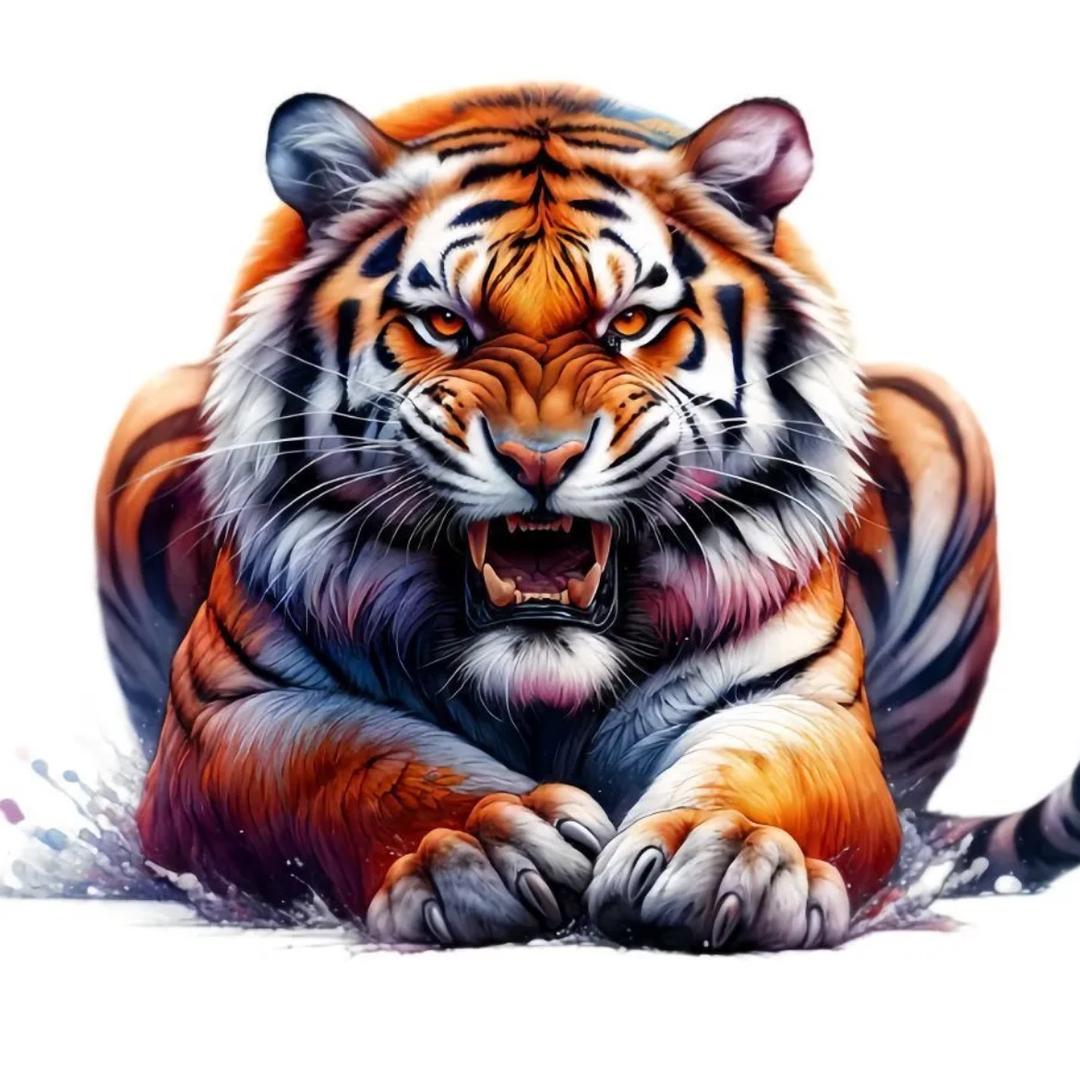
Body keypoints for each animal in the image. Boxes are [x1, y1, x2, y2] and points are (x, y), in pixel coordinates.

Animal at [96, 84, 1080, 951]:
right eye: (445, 323)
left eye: (633, 323)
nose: (541, 458)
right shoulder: (228, 714)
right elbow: (350, 762)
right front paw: (487, 842)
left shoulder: (805, 701)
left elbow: (767, 771)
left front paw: (722, 858)